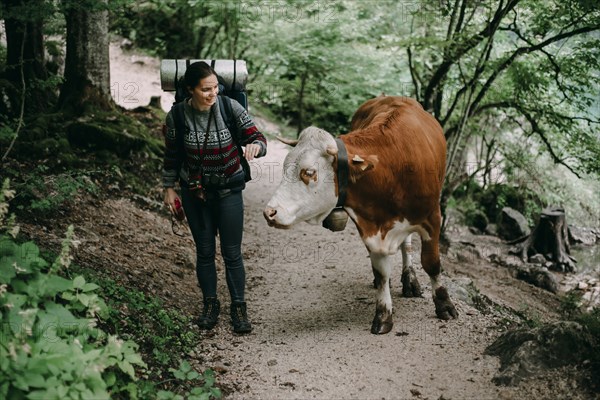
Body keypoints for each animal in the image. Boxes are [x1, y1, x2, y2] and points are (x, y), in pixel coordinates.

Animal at [264, 94, 458, 334]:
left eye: (309, 172)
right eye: (284, 167)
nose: (269, 212)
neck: (392, 172)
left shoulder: (433, 217)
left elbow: (432, 263)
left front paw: (444, 305)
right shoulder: (370, 226)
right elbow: (381, 273)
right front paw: (383, 314)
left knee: (408, 246)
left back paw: (410, 280)